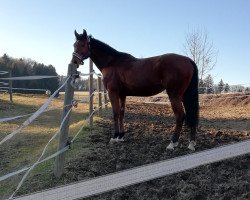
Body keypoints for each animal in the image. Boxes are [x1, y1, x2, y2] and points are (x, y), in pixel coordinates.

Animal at [71, 29, 199, 150]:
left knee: (180, 116)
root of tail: (188, 60)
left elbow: (115, 113)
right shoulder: (122, 94)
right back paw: (191, 143)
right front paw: (121, 136)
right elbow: (121, 113)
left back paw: (172, 143)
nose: (74, 62)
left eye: (82, 44)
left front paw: (114, 136)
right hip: (185, 95)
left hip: (174, 95)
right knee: (191, 114)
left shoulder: (113, 93)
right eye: (74, 45)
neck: (112, 62)